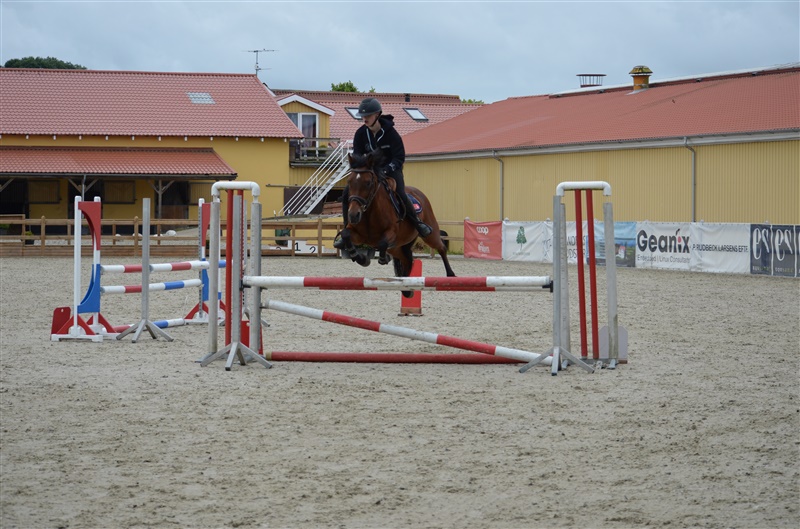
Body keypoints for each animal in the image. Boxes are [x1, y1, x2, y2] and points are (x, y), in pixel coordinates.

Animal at [339, 151, 455, 296]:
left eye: (368, 183)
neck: (370, 211)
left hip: (429, 234)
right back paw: (406, 287)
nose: (353, 215)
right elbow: (345, 234)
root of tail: (418, 193)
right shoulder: (358, 235)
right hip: (397, 247)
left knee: (441, 248)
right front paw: (360, 258)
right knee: (407, 258)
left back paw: (451, 275)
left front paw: (383, 259)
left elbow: (382, 243)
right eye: (349, 182)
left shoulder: (391, 233)